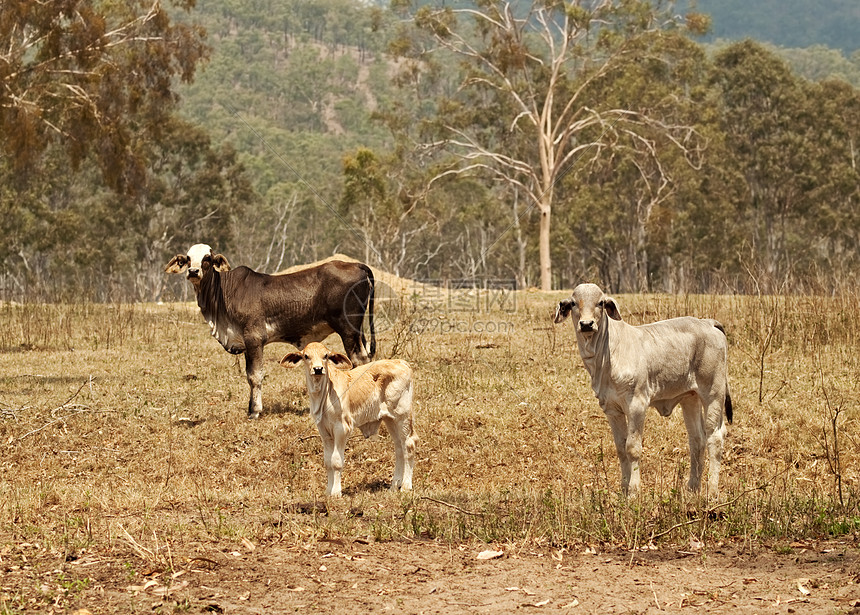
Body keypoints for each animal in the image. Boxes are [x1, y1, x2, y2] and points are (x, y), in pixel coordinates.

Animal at [166, 244, 374, 418]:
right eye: (188, 258)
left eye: (207, 258)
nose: (193, 271)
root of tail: (359, 265)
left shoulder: (254, 339)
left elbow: (254, 376)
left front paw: (255, 411)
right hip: (358, 332)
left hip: (348, 330)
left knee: (358, 361)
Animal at [556, 284, 732, 500]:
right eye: (573, 303)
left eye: (601, 303)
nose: (587, 324)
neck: (605, 358)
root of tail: (708, 322)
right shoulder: (611, 409)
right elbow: (621, 448)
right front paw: (623, 489)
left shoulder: (637, 404)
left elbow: (632, 448)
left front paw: (633, 491)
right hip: (690, 397)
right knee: (696, 439)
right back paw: (692, 488)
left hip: (713, 393)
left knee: (715, 437)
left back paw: (712, 491)